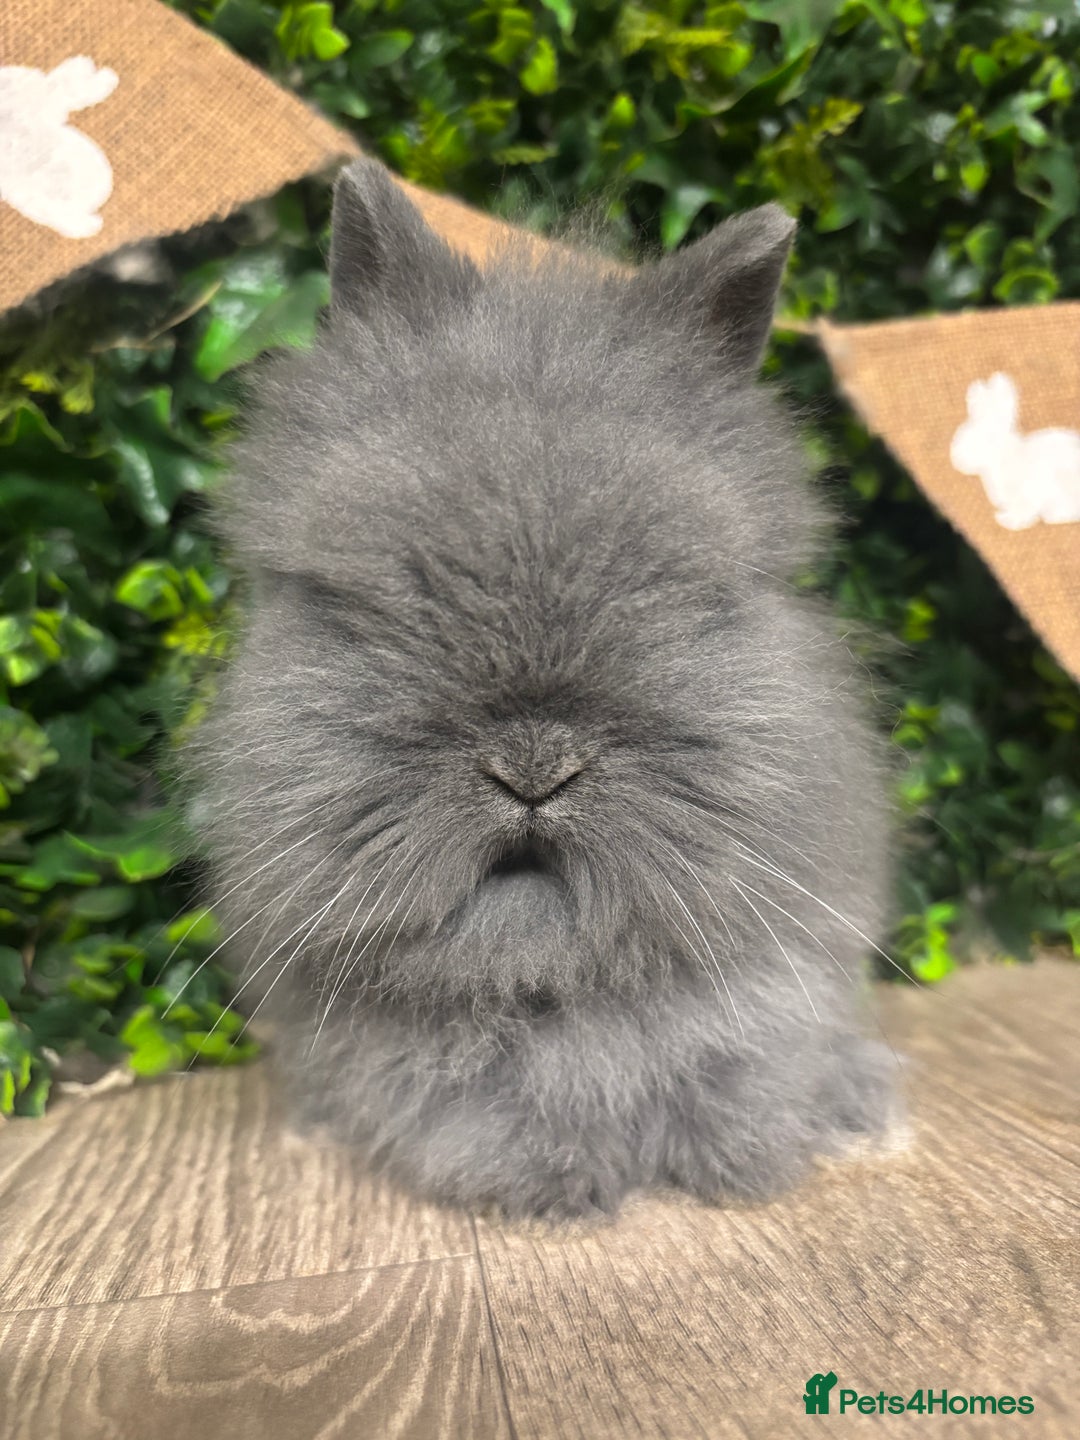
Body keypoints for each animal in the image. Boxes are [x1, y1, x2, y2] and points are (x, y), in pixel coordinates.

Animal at [950, 371, 1080, 530]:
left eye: (984, 439)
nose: (956, 459)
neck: (1002, 456)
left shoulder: (1028, 497)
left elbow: (1023, 515)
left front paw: (1004, 520)